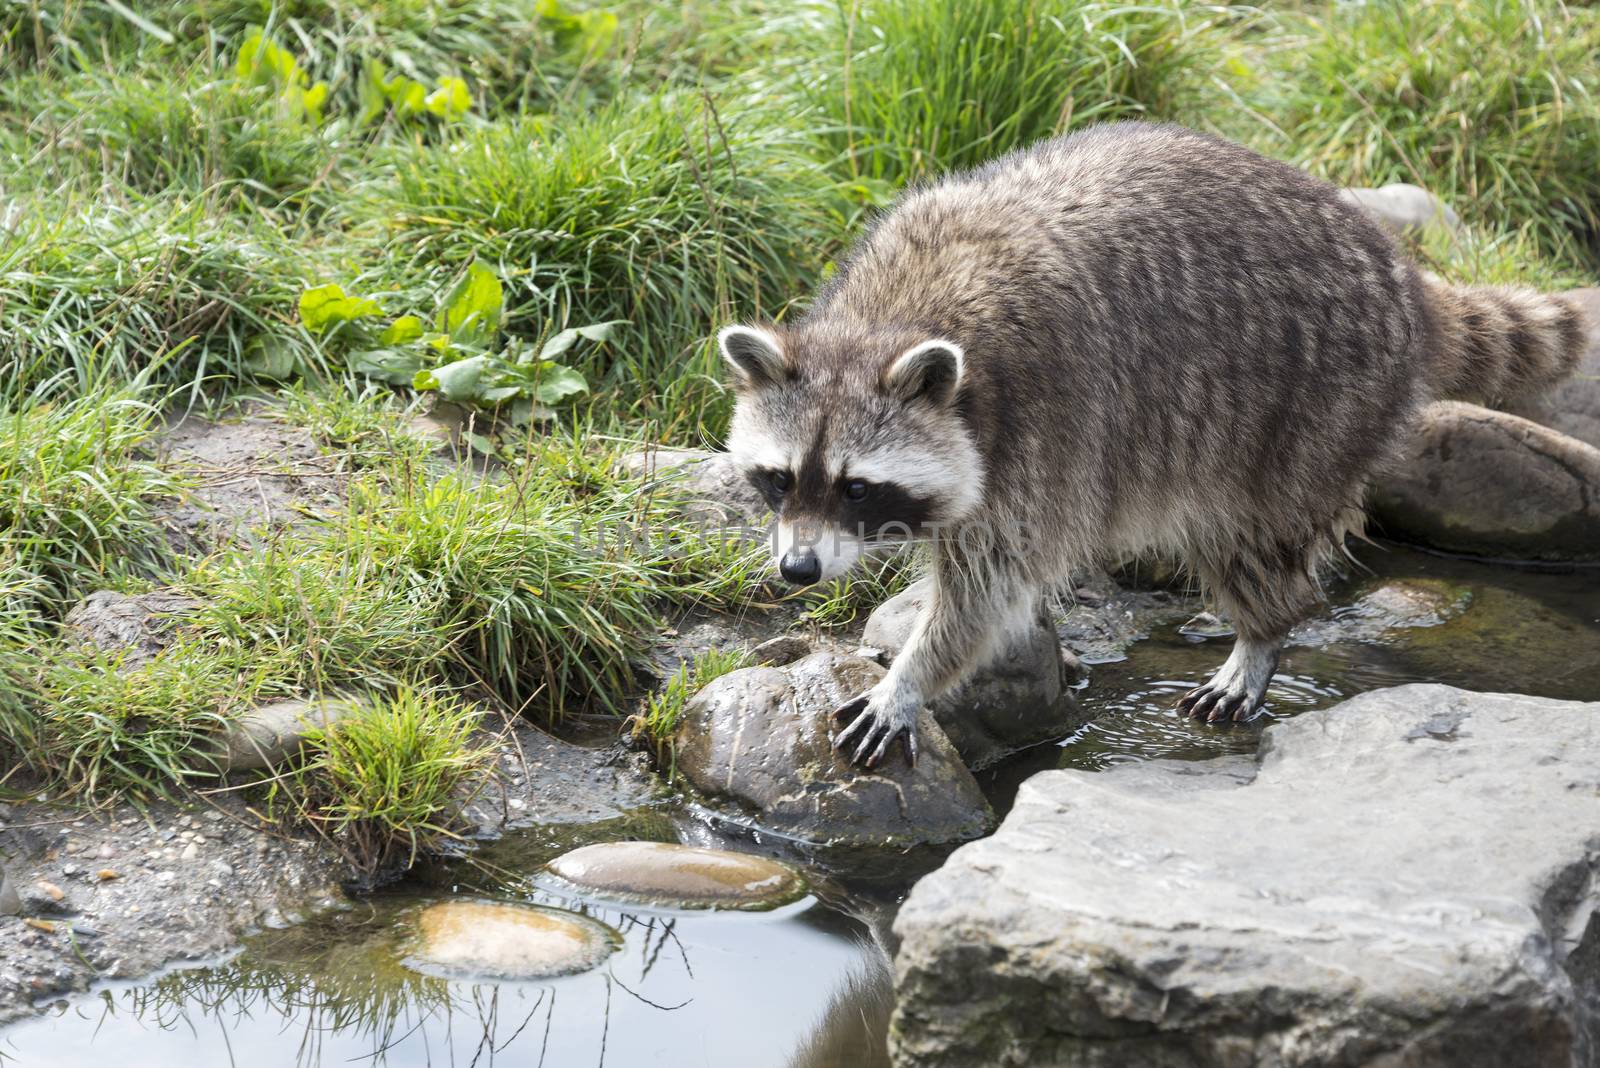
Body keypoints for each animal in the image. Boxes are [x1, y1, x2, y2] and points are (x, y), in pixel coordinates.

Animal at [720, 123, 1593, 767]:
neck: (890, 319)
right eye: (780, 479)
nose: (797, 571)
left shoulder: (1040, 429)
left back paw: (1262, 634)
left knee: (1250, 534)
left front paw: (913, 676)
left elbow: (986, 589)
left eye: (856, 487)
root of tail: (1400, 274)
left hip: (1308, 403)